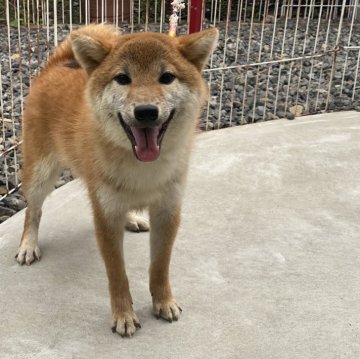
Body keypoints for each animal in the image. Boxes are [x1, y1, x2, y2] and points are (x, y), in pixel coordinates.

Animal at [15, 24, 218, 338]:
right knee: (33, 211)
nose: (145, 111)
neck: (142, 170)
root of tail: (57, 64)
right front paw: (124, 315)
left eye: (167, 77)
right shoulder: (106, 216)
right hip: (40, 174)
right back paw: (28, 244)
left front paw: (164, 301)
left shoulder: (168, 210)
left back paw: (132, 218)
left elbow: (160, 267)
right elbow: (117, 275)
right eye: (123, 78)